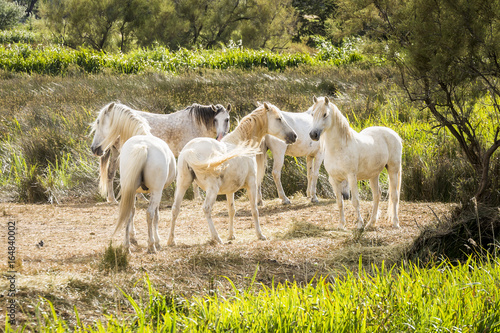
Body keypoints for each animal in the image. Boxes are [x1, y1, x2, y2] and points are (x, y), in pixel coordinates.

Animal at [91, 105, 177, 253]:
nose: (94, 149)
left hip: (132, 188)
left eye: (98, 121)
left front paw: (132, 238)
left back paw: (126, 246)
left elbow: (132, 212)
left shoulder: (134, 191)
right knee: (149, 213)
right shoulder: (156, 192)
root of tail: (143, 147)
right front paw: (157, 241)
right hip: (156, 191)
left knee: (128, 213)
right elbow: (156, 215)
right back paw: (151, 246)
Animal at [94, 101, 229, 201]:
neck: (195, 124)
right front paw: (198, 198)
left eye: (227, 119)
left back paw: (113, 199)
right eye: (215, 120)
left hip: (116, 153)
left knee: (111, 173)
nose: (221, 137)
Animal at [168, 101, 296, 244]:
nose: (294, 136)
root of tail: (189, 151)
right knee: (206, 209)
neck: (242, 142)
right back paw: (217, 238)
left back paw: (171, 241)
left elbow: (231, 210)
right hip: (212, 189)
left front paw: (231, 236)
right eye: (279, 118)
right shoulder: (251, 184)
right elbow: (254, 209)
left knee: (175, 209)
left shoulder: (230, 191)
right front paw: (260, 235)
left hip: (182, 185)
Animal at [308, 96, 402, 228]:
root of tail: (394, 134)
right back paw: (371, 223)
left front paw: (359, 224)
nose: (313, 134)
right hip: (373, 175)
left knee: (394, 195)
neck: (339, 147)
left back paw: (395, 223)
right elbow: (340, 202)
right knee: (377, 195)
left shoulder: (351, 177)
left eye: (325, 114)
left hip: (393, 169)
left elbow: (355, 201)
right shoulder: (334, 180)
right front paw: (341, 225)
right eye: (312, 114)